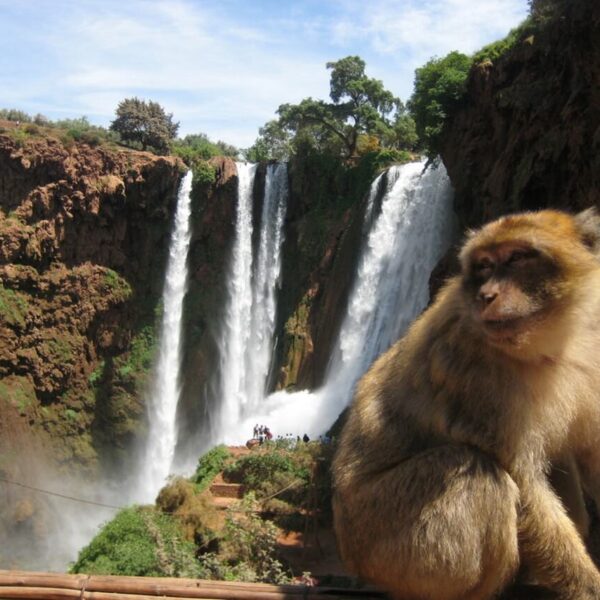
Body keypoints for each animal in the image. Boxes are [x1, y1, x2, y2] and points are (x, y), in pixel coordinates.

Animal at [332, 210, 600, 600]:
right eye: (485, 265)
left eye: (517, 258)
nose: (487, 295)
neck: (549, 343)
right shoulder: (476, 376)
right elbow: (526, 485)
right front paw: (588, 586)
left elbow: (581, 455)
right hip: (384, 539)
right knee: (477, 472)